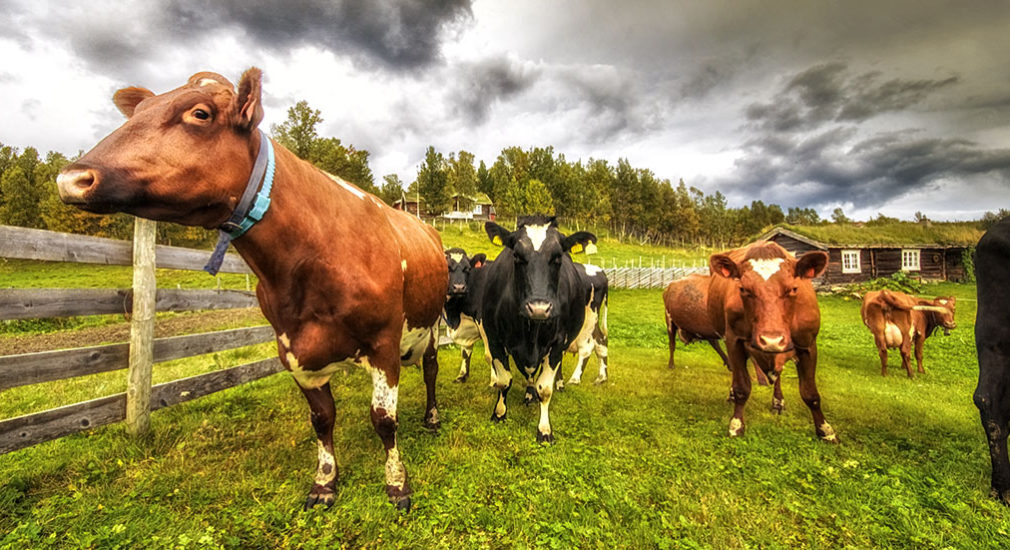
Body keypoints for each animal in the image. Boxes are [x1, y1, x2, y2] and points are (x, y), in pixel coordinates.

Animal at [55, 68, 446, 510]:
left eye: (200, 113)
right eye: (137, 112)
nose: (72, 179)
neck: (309, 262)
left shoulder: (383, 342)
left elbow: (384, 419)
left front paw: (397, 482)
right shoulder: (293, 350)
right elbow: (322, 418)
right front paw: (325, 480)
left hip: (431, 325)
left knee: (431, 370)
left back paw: (432, 417)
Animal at [476, 213, 593, 442]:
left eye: (557, 257)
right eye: (517, 256)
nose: (539, 308)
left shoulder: (557, 343)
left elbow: (545, 388)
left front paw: (544, 429)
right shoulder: (494, 338)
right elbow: (504, 380)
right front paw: (499, 413)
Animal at [702, 240, 836, 442]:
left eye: (793, 288)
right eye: (743, 289)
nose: (771, 340)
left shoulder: (808, 344)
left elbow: (811, 394)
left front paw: (825, 430)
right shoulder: (734, 340)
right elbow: (742, 387)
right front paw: (736, 425)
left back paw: (778, 402)